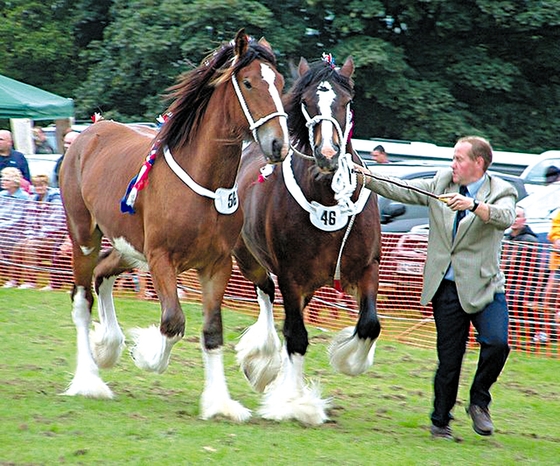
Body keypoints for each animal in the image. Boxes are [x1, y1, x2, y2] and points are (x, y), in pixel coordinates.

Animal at [59, 30, 288, 422]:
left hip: (127, 247)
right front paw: (147, 354)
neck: (204, 186)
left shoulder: (215, 265)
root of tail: (87, 134)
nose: (278, 145)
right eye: (248, 82)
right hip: (85, 237)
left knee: (103, 272)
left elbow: (212, 331)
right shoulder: (161, 259)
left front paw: (220, 403)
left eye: (281, 83)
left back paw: (108, 345)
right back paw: (89, 380)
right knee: (82, 299)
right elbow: (173, 321)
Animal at [231, 56, 380, 424]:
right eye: (308, 102)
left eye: (346, 102)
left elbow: (369, 324)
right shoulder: (290, 276)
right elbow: (296, 336)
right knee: (268, 300)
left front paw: (349, 359)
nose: (327, 155)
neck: (327, 199)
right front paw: (294, 402)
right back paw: (262, 362)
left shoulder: (367, 267)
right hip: (251, 261)